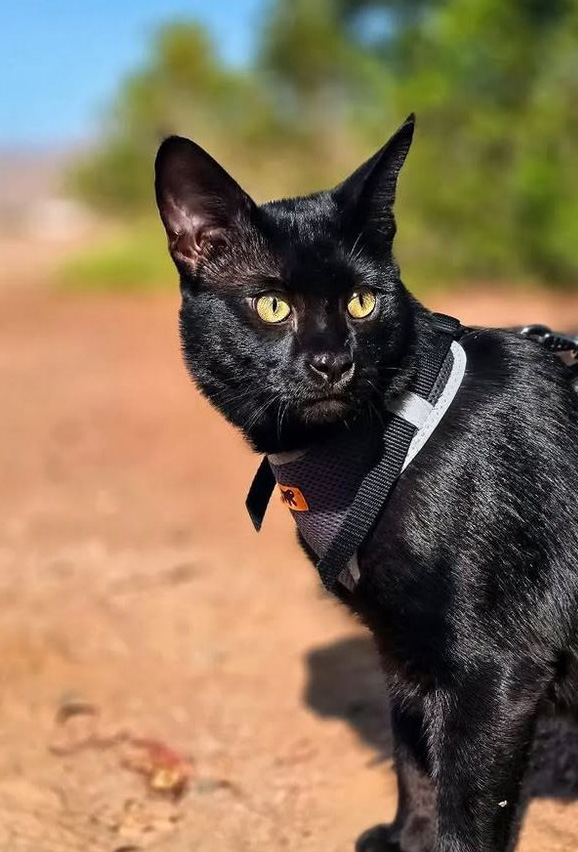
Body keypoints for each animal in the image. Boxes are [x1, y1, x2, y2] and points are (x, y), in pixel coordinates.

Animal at [155, 118, 576, 852]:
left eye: (362, 301)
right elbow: (413, 756)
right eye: (272, 305)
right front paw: (408, 835)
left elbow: (468, 807)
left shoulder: (496, 671)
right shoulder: (401, 646)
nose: (332, 360)